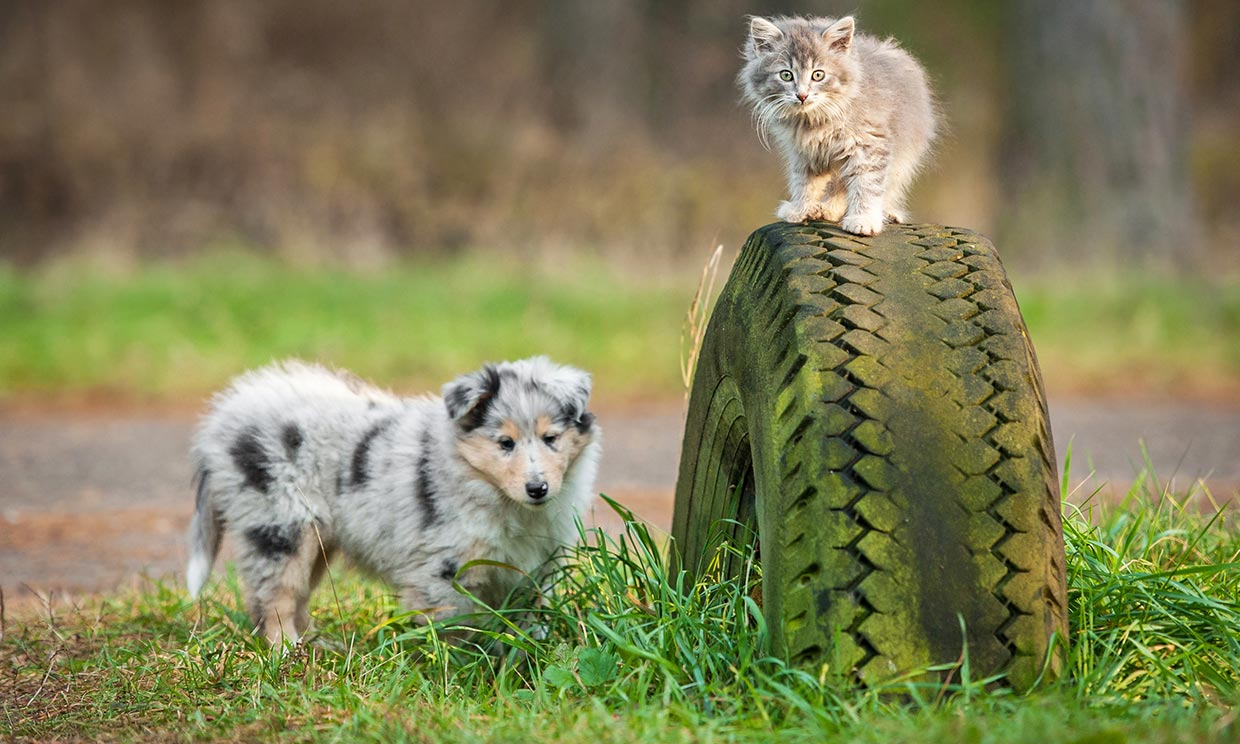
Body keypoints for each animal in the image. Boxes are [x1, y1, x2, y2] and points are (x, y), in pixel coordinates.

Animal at [184, 357, 605, 639]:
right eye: (505, 443)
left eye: (551, 438)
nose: (538, 489)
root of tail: (226, 416)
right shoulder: (442, 569)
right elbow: (456, 629)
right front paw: (460, 673)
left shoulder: (537, 567)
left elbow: (531, 619)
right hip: (280, 525)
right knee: (274, 599)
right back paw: (288, 653)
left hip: (317, 539)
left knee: (295, 595)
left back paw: (316, 645)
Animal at [739, 15, 932, 235]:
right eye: (786, 75)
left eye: (818, 75)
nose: (802, 95)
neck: (814, 121)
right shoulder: (804, 152)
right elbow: (804, 182)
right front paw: (801, 209)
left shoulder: (869, 144)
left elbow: (866, 184)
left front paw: (863, 220)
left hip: (902, 157)